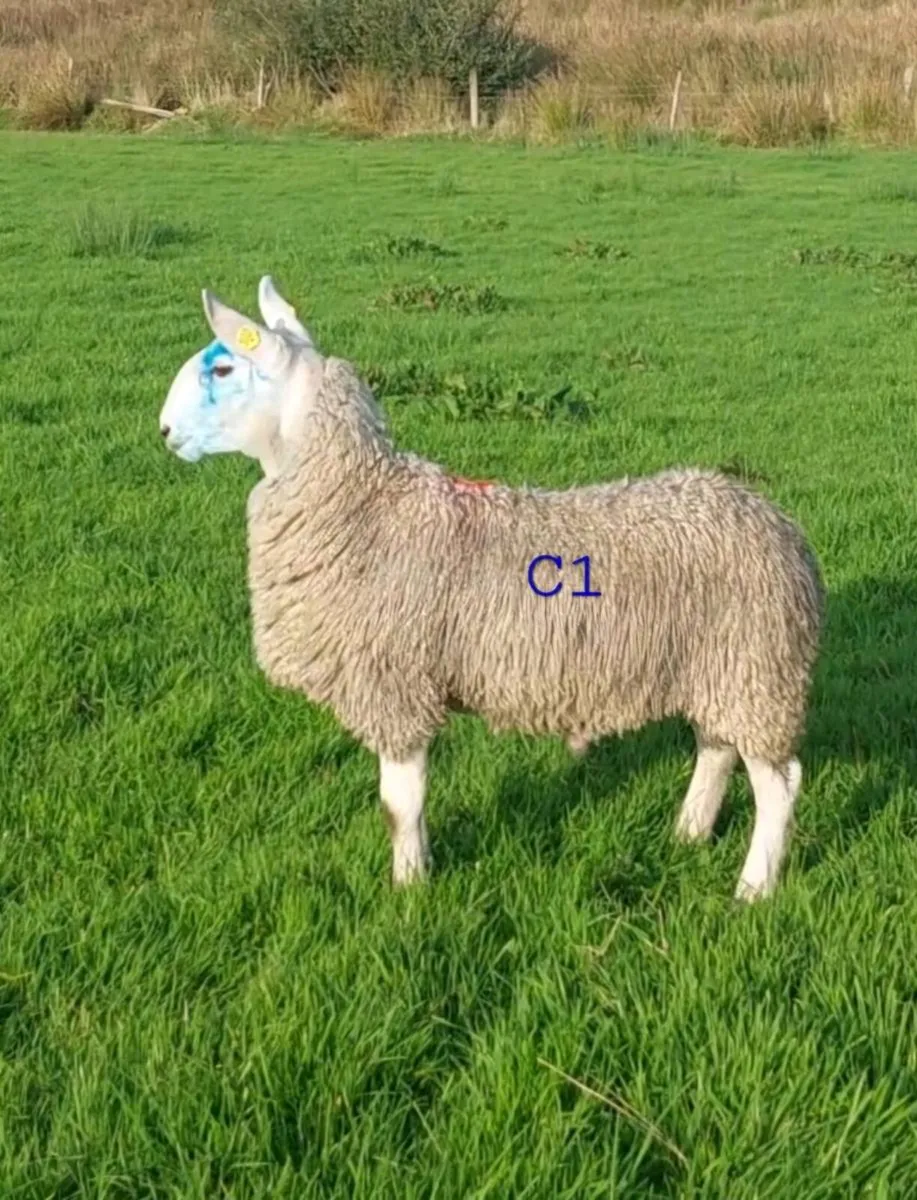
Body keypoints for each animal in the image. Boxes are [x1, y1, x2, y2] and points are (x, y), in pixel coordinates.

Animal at [159, 275, 824, 901]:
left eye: (222, 368)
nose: (163, 431)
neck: (364, 503)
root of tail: (783, 529)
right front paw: (419, 872)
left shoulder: (397, 683)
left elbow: (399, 805)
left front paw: (410, 887)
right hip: (722, 670)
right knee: (717, 748)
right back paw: (688, 833)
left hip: (757, 667)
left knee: (778, 785)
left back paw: (754, 889)